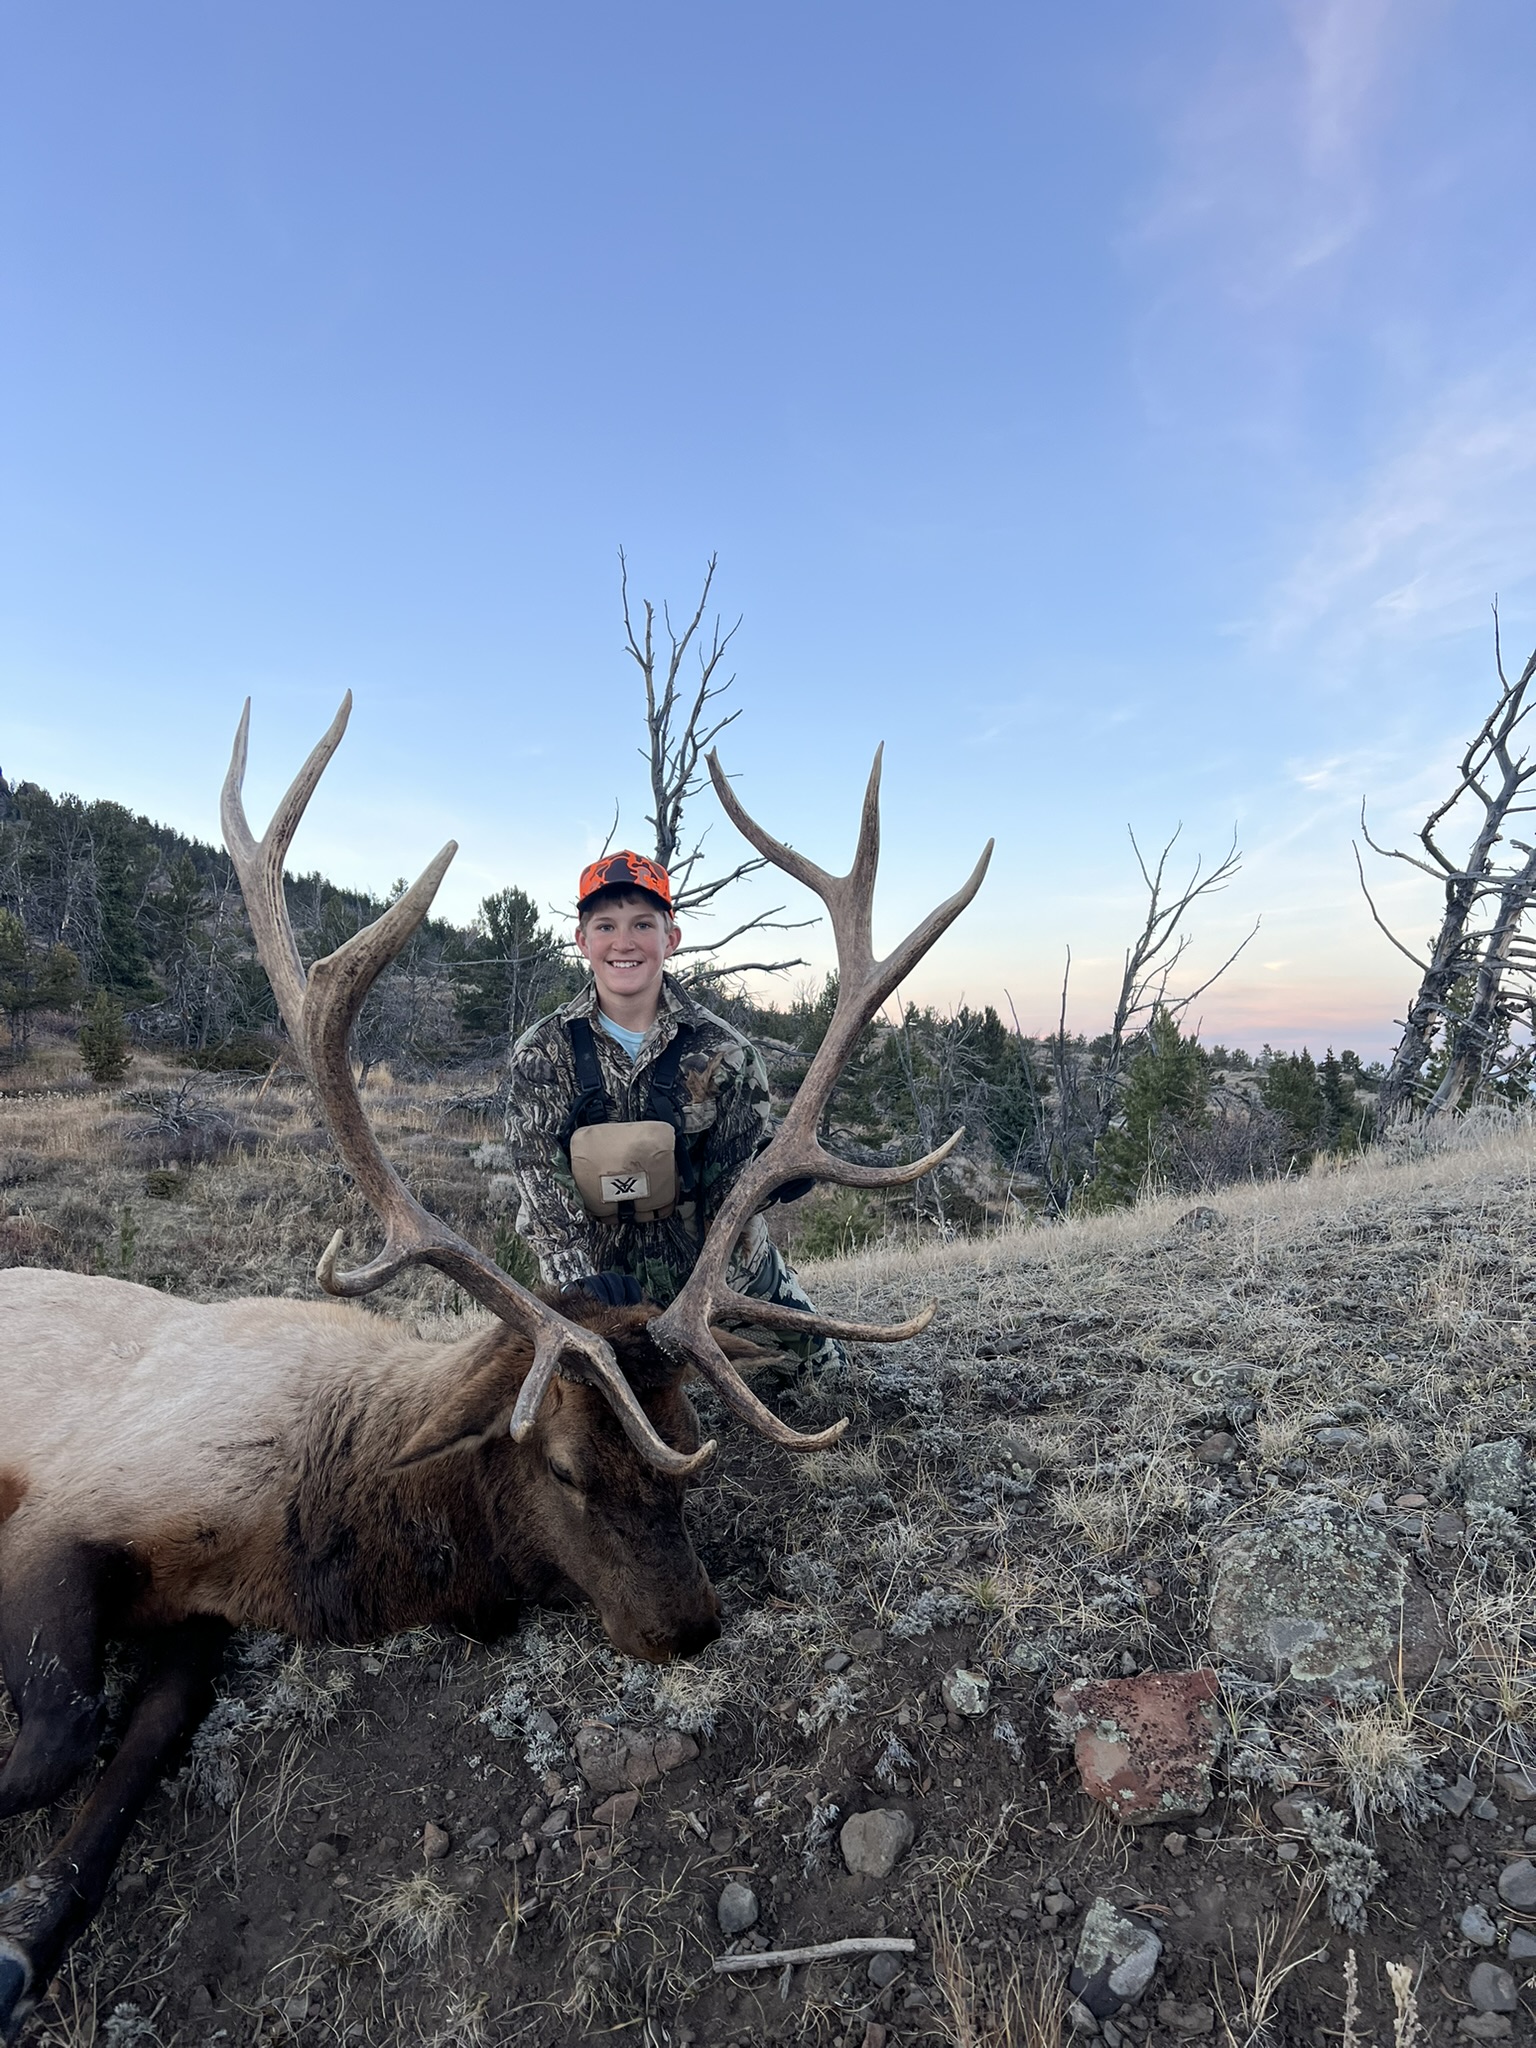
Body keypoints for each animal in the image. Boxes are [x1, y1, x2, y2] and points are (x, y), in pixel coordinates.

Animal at [0, 697, 991, 2038]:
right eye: (563, 1464)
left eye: (688, 1450)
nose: (692, 1622)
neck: (321, 1521)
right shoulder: (71, 1500)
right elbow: (54, 1738)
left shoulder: (192, 1616)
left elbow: (111, 1762)